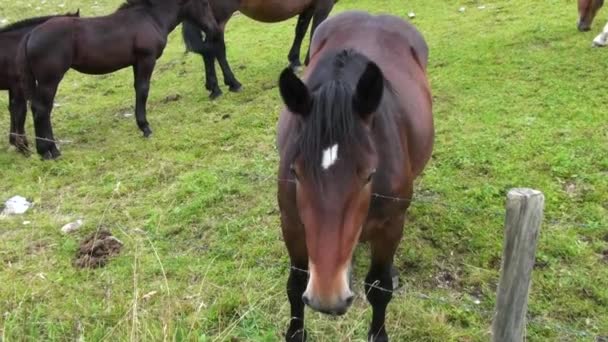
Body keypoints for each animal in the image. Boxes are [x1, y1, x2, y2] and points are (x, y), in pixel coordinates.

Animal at [0, 10, 79, 154]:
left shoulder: (13, 87)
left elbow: (13, 110)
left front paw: (16, 143)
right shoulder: (18, 86)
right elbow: (20, 111)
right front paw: (23, 147)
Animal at [16, 0, 221, 160]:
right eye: (204, 3)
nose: (214, 29)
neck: (151, 18)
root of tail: (30, 35)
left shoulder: (137, 63)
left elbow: (138, 89)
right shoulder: (147, 59)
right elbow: (143, 90)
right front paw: (146, 128)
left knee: (38, 109)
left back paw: (45, 151)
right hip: (50, 80)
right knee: (42, 109)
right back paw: (50, 151)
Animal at [183, 0, 340, 99]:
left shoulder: (308, 7)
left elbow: (300, 30)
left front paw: (295, 61)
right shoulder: (323, 5)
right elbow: (316, 30)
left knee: (208, 51)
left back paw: (214, 88)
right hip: (219, 19)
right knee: (217, 48)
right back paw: (233, 83)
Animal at [276, 10, 432, 342]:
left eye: (370, 174)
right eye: (295, 171)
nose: (327, 297)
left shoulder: (390, 226)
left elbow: (379, 288)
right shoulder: (291, 222)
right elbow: (296, 282)